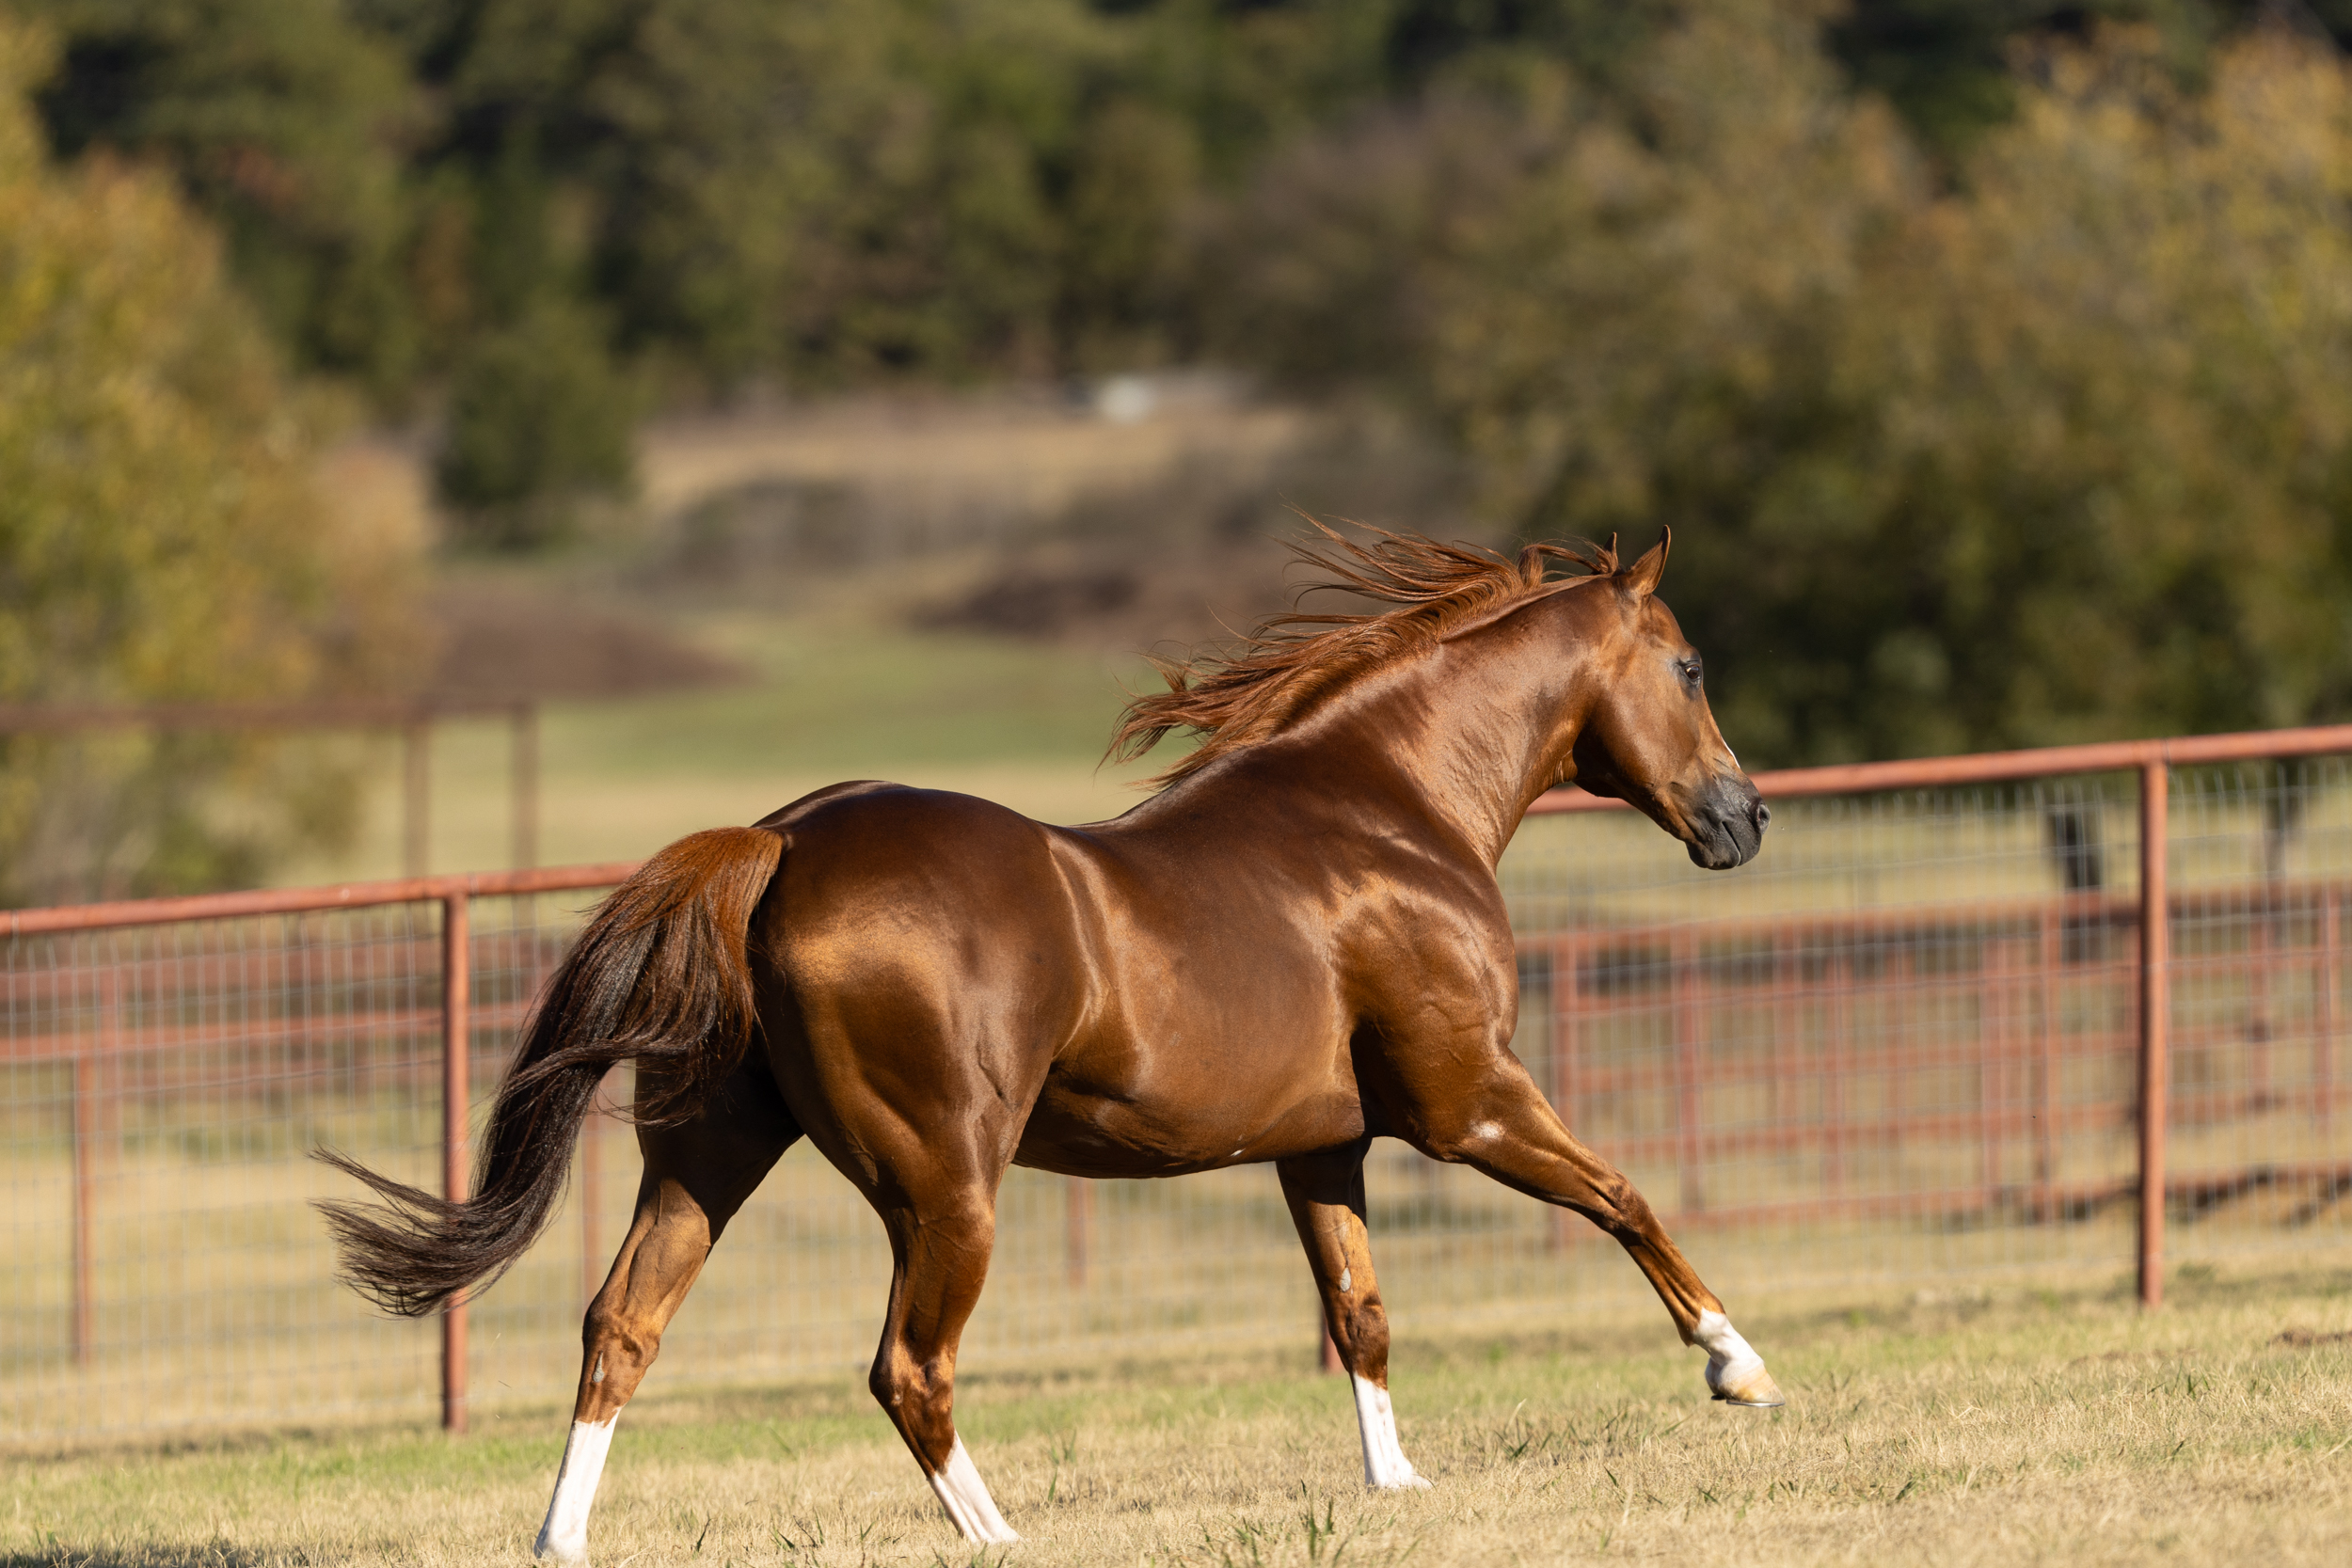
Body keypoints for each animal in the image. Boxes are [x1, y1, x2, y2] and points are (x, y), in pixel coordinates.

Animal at [318, 525, 1780, 1562]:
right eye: (1691, 663)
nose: (1745, 817)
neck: (1388, 812)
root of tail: (780, 841)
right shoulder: (1467, 1101)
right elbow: (1623, 1195)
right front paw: (1739, 1367)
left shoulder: (1322, 1147)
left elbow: (1359, 1311)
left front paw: (1397, 1479)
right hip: (945, 1185)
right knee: (908, 1366)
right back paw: (999, 1532)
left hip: (709, 1157)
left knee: (622, 1324)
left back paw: (560, 1537)